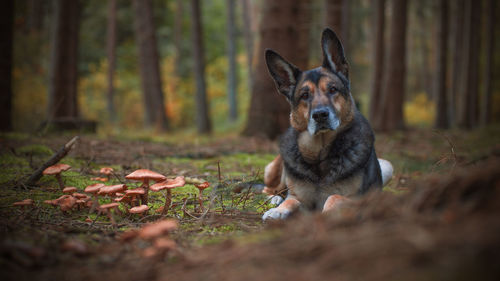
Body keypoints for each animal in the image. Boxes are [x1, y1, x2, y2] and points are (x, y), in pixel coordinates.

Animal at [260, 29, 392, 221]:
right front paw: (278, 210)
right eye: (305, 95)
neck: (320, 154)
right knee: (270, 188)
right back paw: (275, 199)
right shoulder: (300, 198)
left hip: (388, 165)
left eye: (332, 89)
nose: (320, 115)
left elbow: (333, 197)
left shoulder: (360, 199)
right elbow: (290, 200)